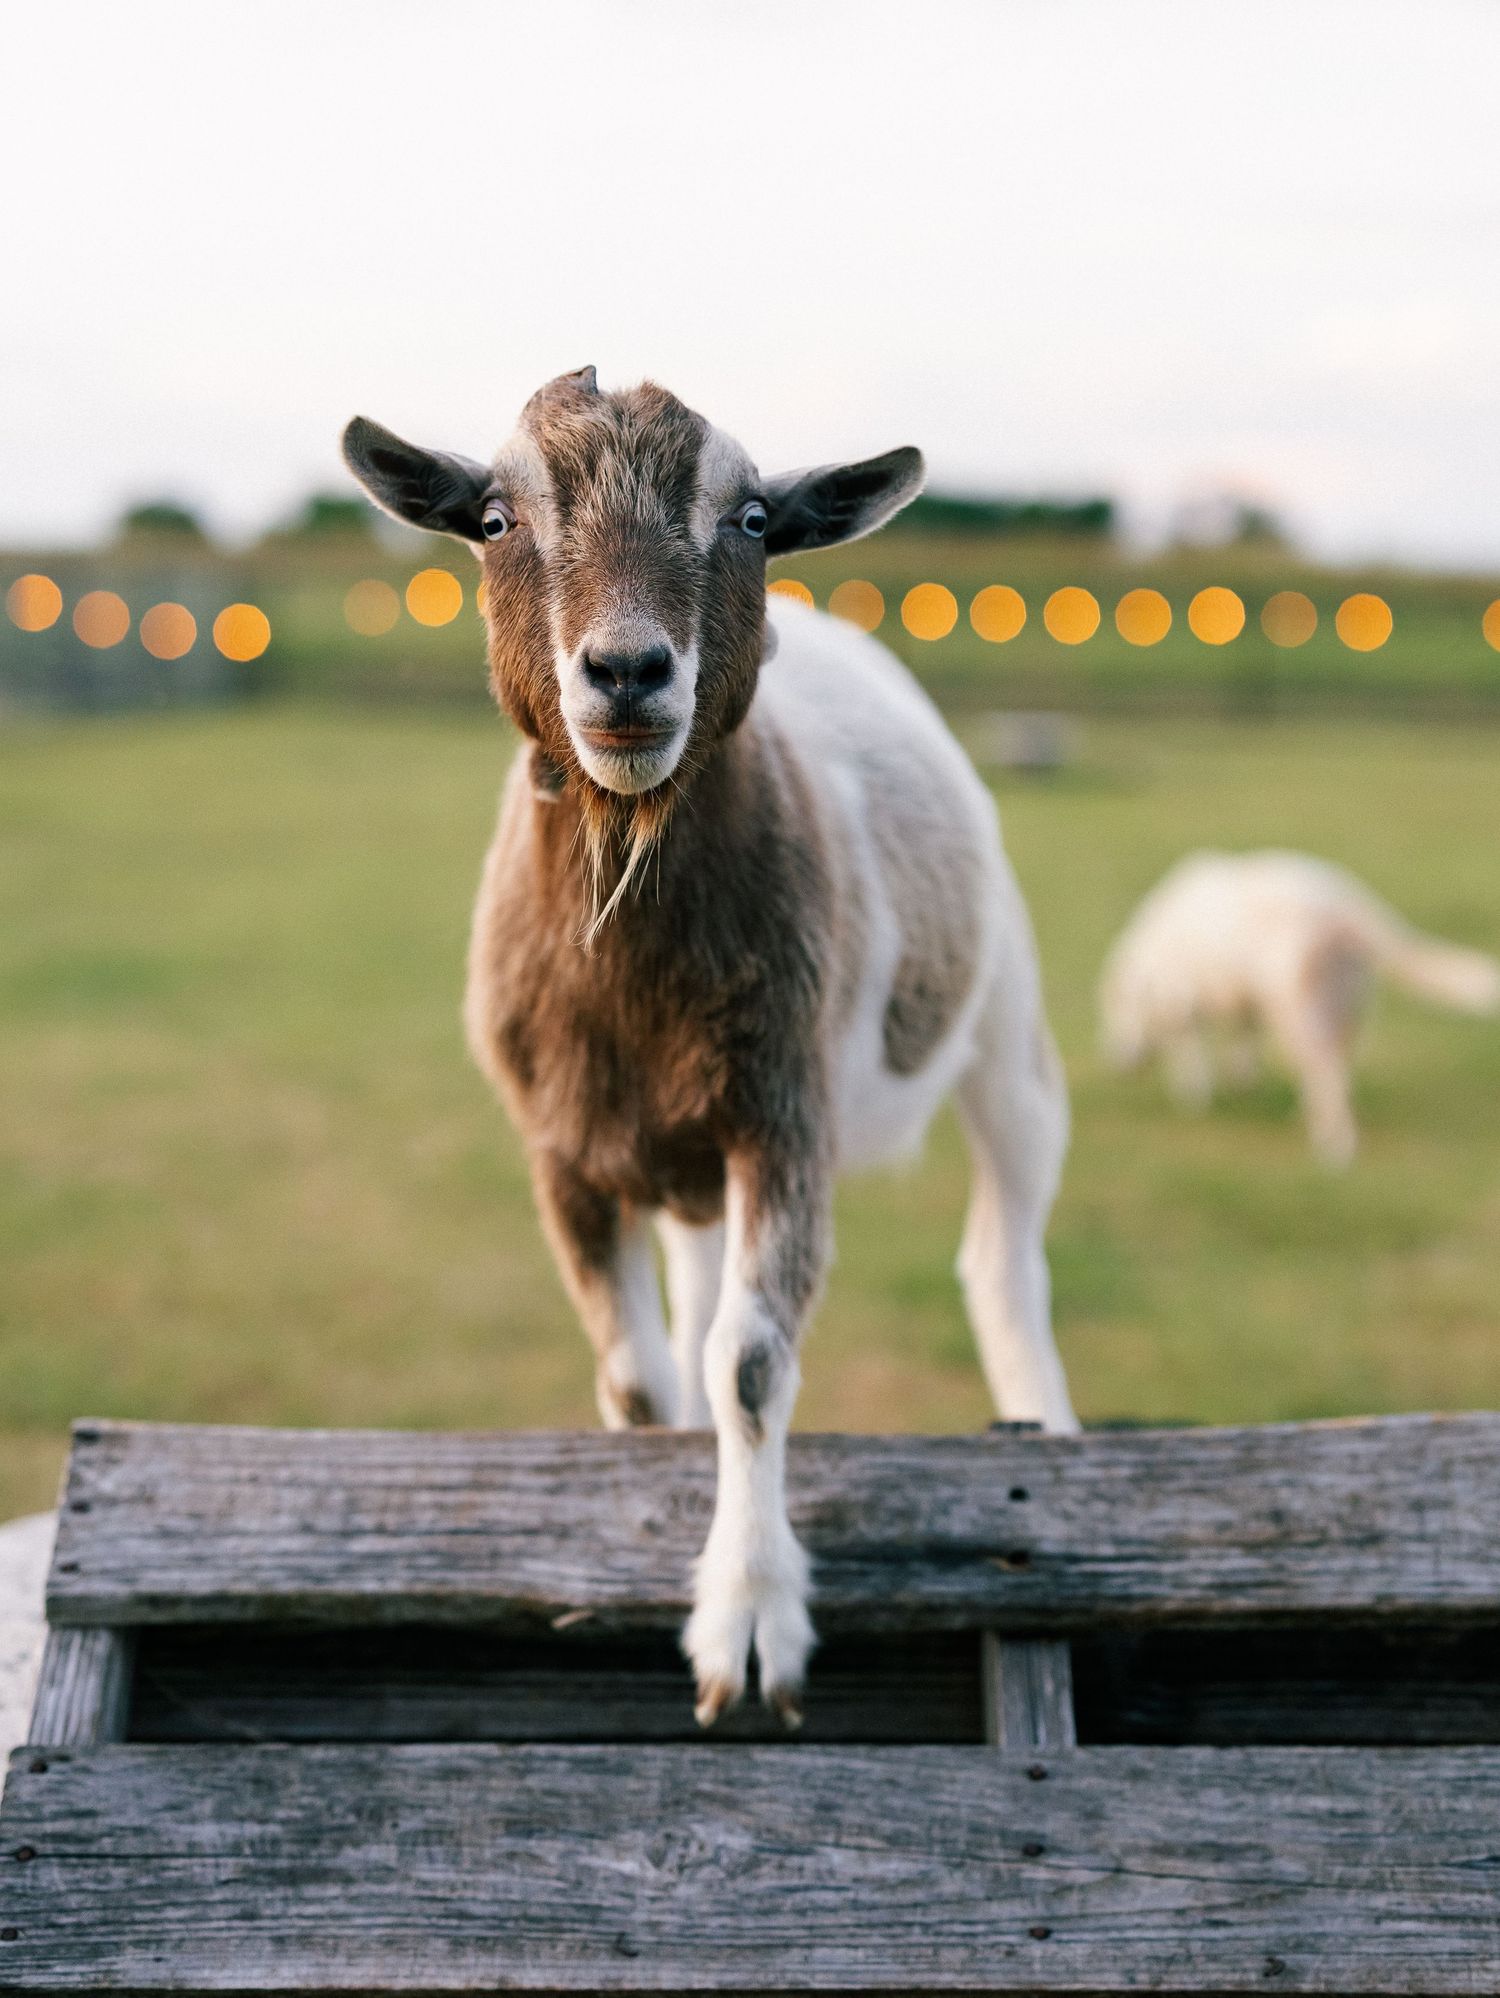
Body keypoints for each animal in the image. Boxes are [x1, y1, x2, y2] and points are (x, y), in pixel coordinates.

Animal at [343, 368, 1075, 1725]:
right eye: (491, 520)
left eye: (751, 519)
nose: (628, 670)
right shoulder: (563, 1152)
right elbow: (639, 1380)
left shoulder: (786, 1117)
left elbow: (749, 1361)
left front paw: (746, 1617)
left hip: (1007, 1031)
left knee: (1005, 1255)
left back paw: (1045, 1428)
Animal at [1100, 849, 1500, 1166]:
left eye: (1116, 1011)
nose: (1118, 1062)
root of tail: (1345, 905)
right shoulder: (1241, 1003)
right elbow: (1242, 1040)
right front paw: (1240, 1080)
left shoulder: (1183, 1000)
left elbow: (1190, 1050)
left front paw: (1195, 1097)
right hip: (1347, 1004)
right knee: (1336, 1066)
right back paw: (1311, 1118)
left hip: (1298, 1008)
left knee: (1324, 1071)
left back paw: (1333, 1148)